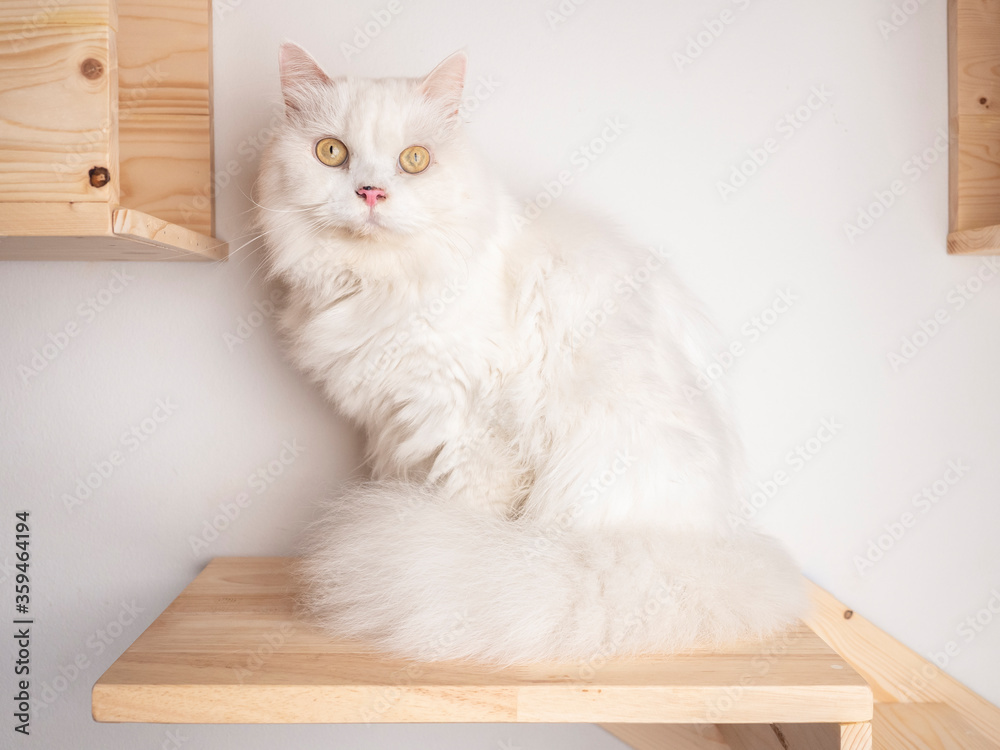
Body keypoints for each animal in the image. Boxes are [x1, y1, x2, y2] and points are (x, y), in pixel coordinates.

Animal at [258, 42, 804, 664]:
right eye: (332, 153)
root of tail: (711, 547)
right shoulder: (397, 426)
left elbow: (461, 512)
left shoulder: (468, 432)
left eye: (414, 160)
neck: (378, 284)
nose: (371, 193)